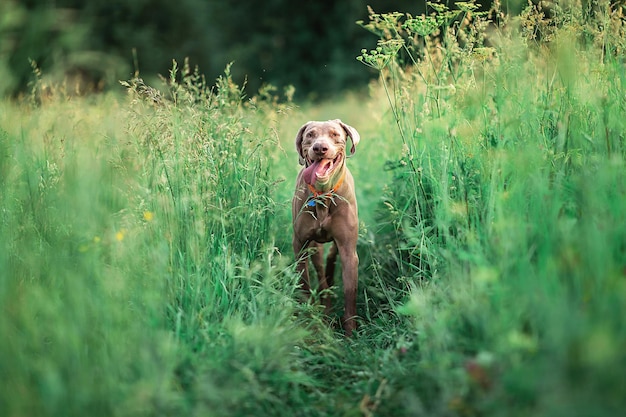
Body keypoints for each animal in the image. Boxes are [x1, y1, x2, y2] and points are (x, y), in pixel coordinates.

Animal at [290, 119, 358, 334]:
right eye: (310, 135)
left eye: (335, 134)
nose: (320, 148)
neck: (323, 195)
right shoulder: (300, 245)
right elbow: (304, 283)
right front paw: (310, 316)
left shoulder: (348, 249)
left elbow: (350, 292)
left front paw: (350, 333)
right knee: (320, 272)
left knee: (330, 258)